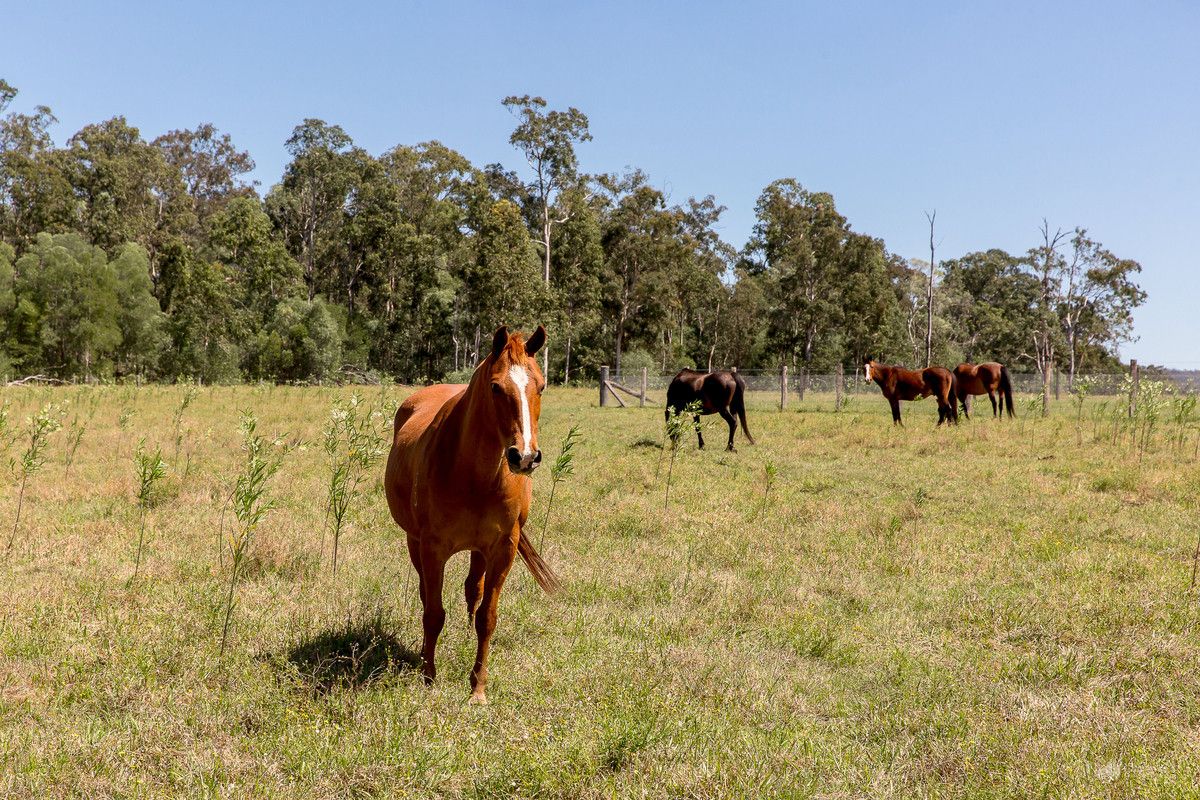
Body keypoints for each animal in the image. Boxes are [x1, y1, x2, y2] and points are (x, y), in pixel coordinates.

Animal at [384, 323, 561, 700]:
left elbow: (487, 616)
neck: (474, 475)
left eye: (541, 385)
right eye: (495, 387)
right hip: (414, 542)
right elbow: (433, 613)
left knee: (472, 590)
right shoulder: (433, 548)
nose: (525, 457)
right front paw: (429, 677)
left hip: (480, 550)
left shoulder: (503, 548)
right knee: (427, 595)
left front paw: (478, 687)